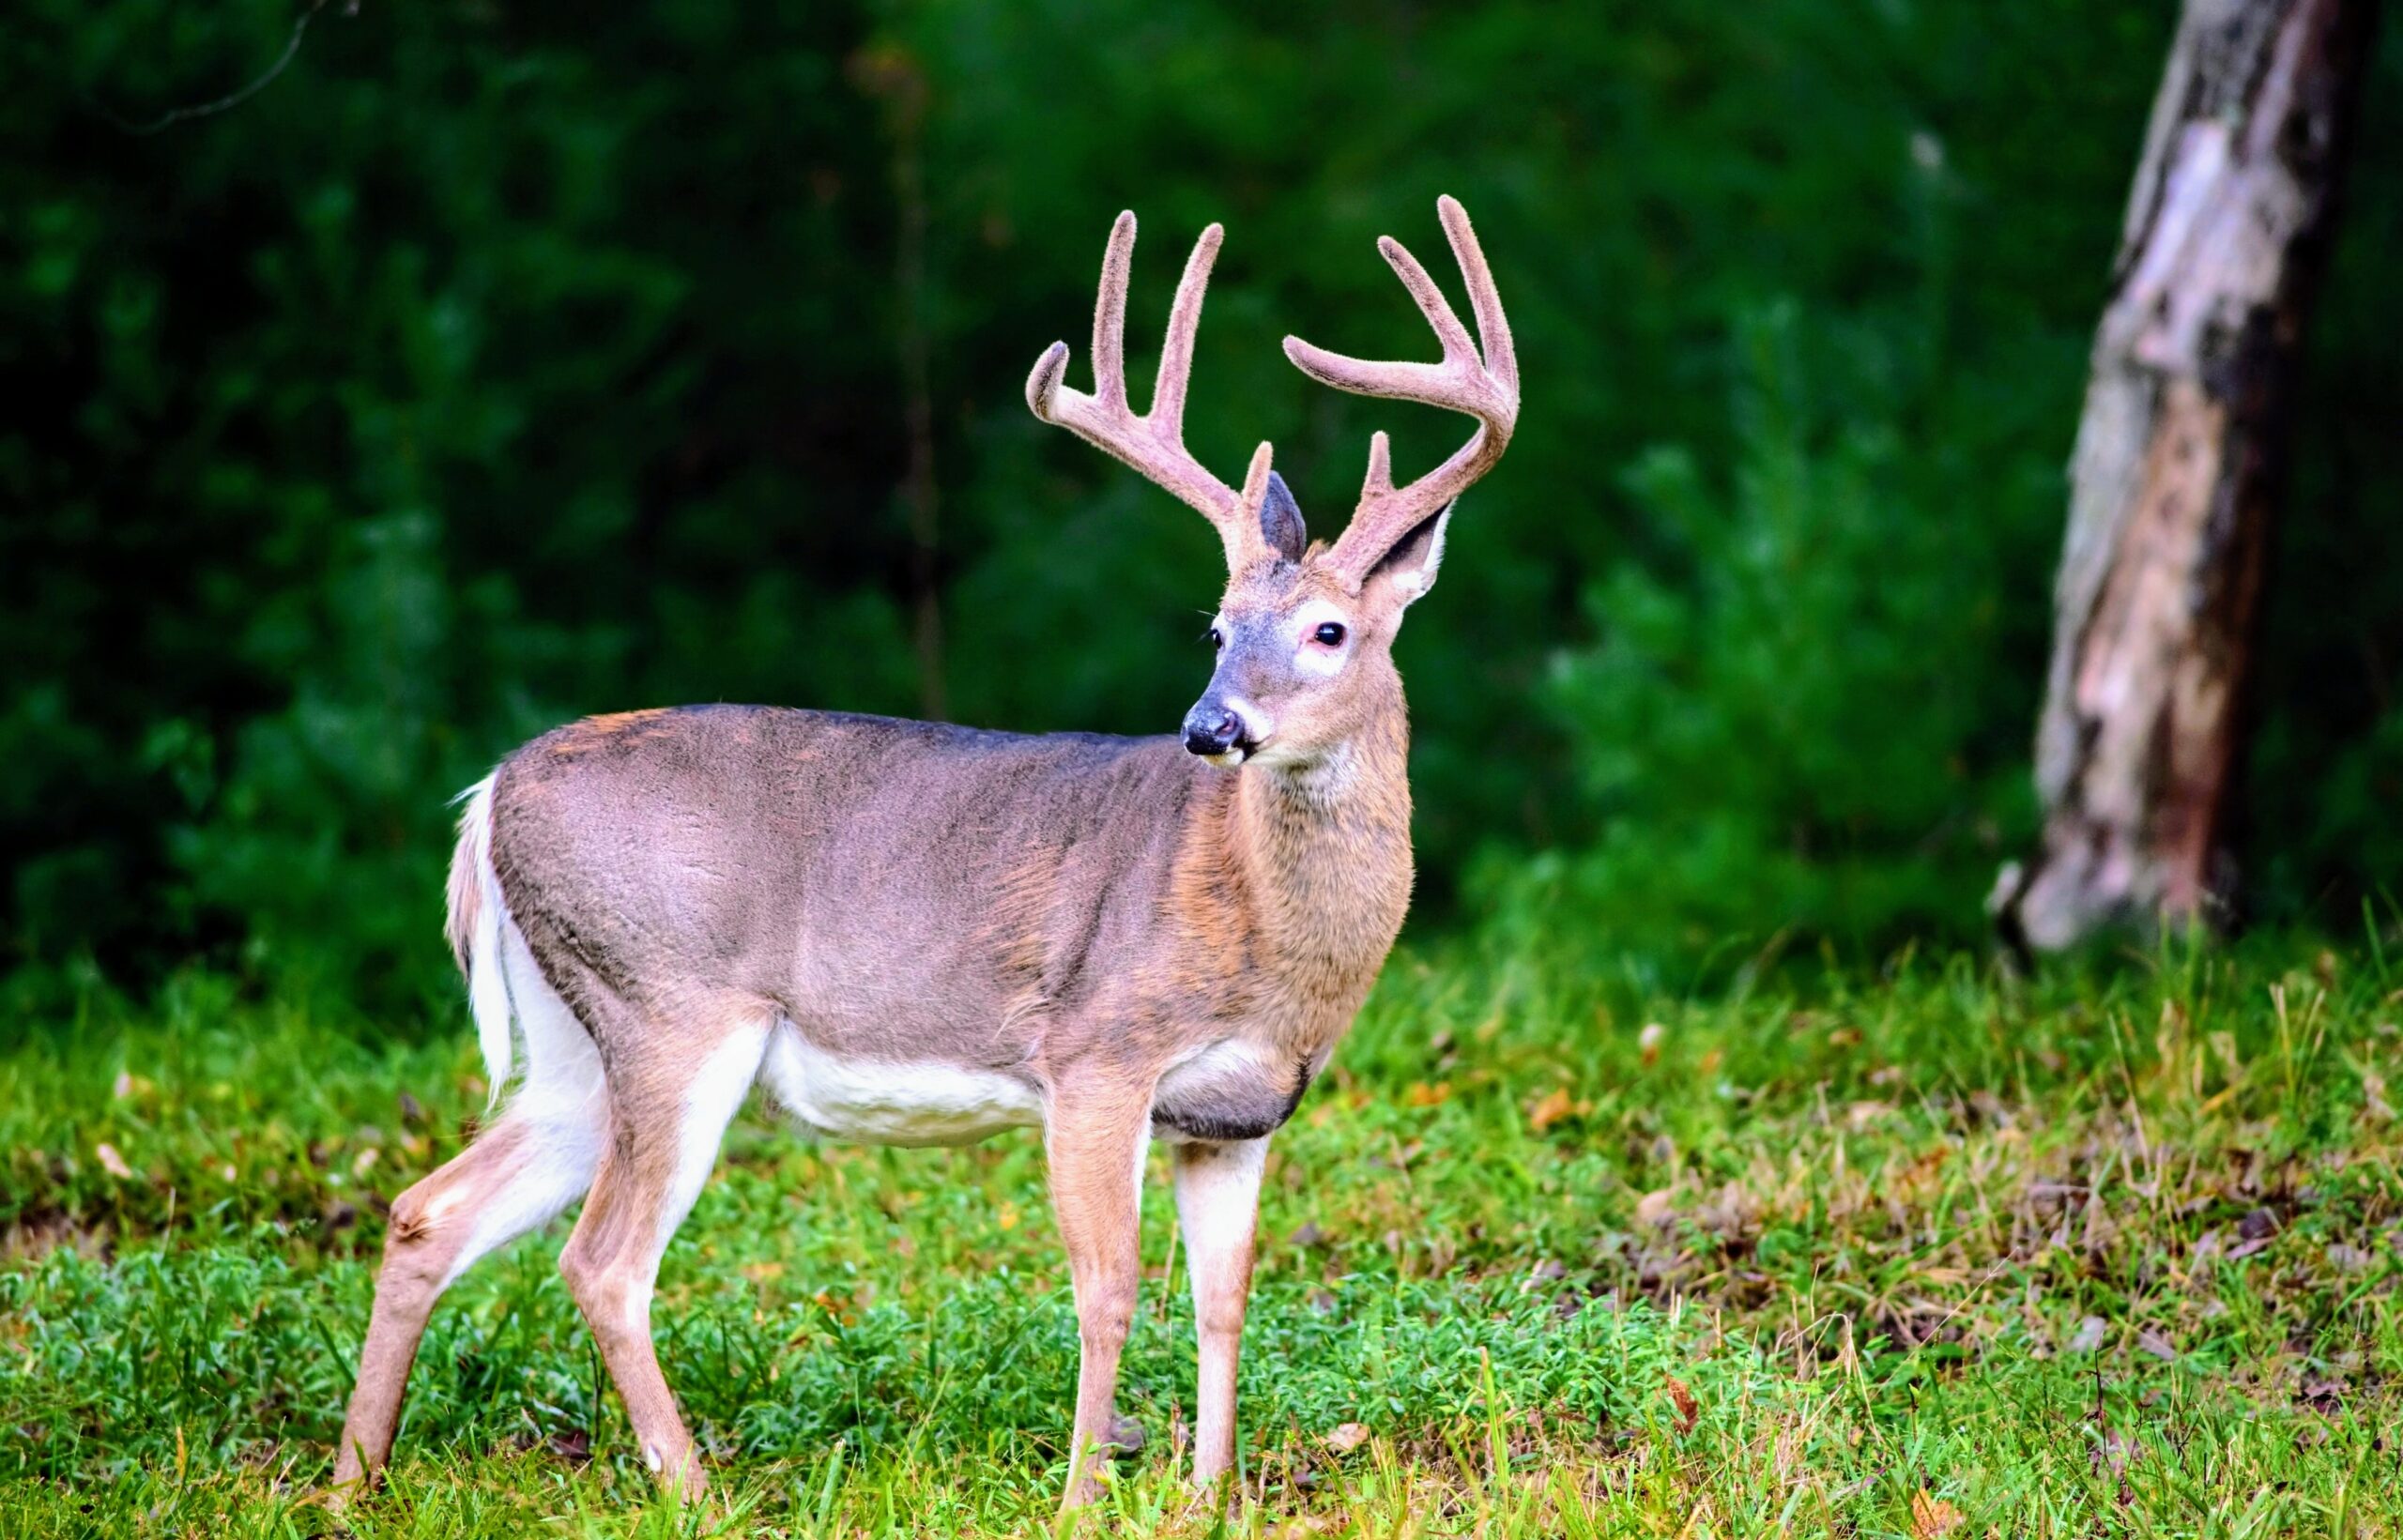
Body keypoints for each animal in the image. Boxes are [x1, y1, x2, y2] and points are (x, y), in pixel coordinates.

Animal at [330, 195, 1516, 1511]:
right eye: (1215, 628)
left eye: (1328, 630)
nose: (1211, 727)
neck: (1266, 934)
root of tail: (489, 796)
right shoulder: (1094, 1052)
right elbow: (1107, 1292)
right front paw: (1081, 1501)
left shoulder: (1237, 1116)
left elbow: (1224, 1303)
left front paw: (1208, 1499)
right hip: (670, 1004)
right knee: (602, 1260)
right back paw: (696, 1493)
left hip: (575, 1041)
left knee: (429, 1210)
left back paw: (348, 1483)